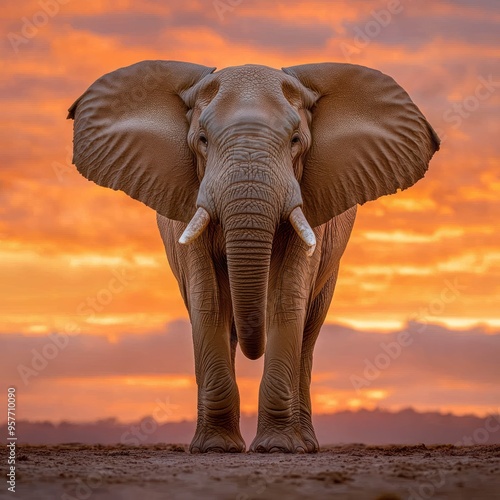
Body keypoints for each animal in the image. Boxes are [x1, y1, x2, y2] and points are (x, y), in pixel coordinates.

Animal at [68, 59, 440, 454]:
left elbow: (287, 299)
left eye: (296, 141)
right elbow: (208, 301)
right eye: (202, 140)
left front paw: (278, 448)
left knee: (309, 331)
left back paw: (306, 444)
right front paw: (215, 449)